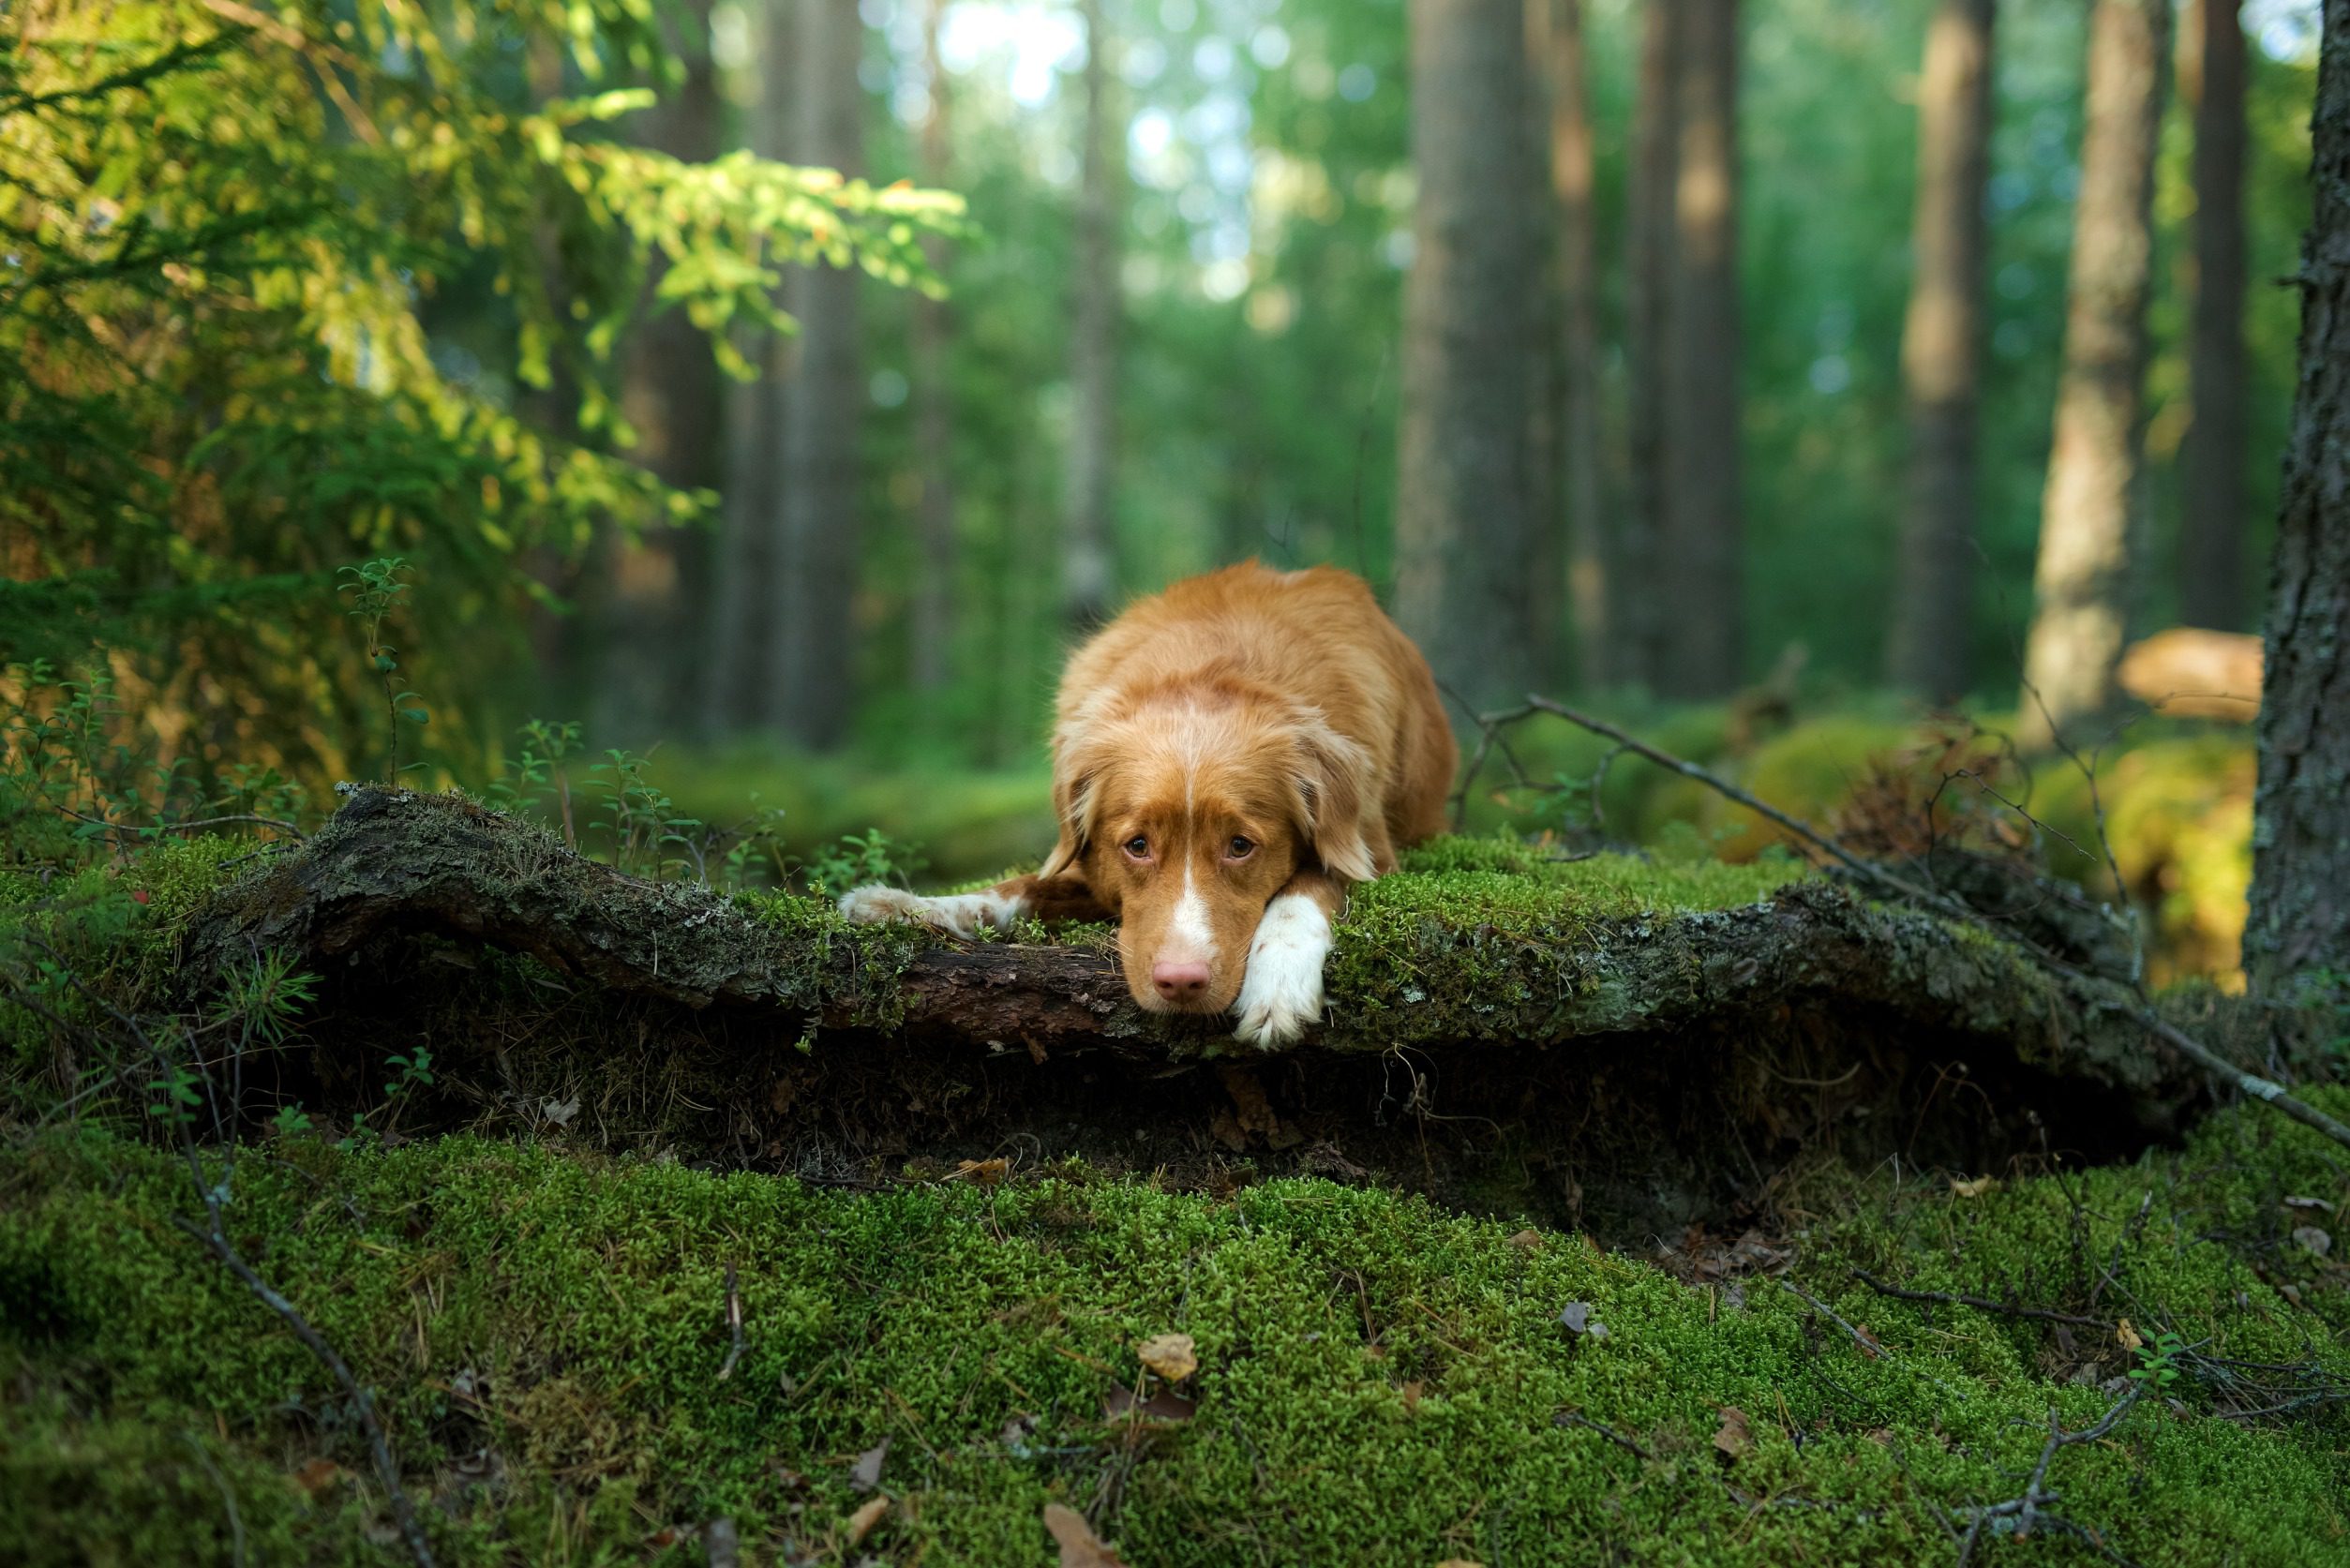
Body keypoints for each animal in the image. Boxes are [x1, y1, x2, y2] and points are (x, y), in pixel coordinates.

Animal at [836, 557, 1457, 1048]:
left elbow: (1308, 885)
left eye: (1240, 846)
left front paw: (1278, 983)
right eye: (1137, 845)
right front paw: (910, 905)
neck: (1211, 668)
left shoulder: (1371, 851)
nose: (1180, 982)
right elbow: (1014, 889)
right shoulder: (1086, 867)